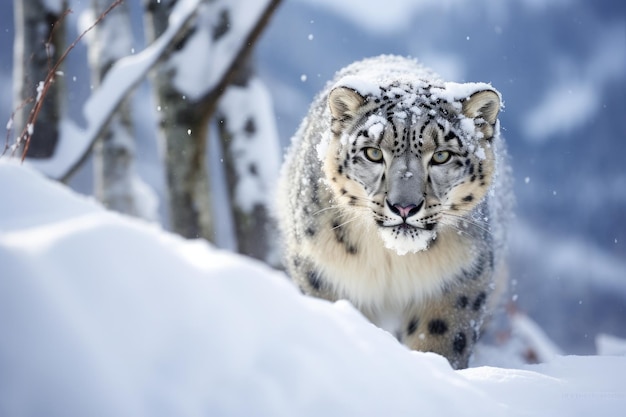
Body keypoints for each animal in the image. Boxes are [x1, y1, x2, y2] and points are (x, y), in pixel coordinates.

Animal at [276, 54, 510, 368]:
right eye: (373, 152)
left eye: (441, 155)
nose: (404, 206)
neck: (392, 260)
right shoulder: (320, 271)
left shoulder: (459, 281)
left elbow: (443, 339)